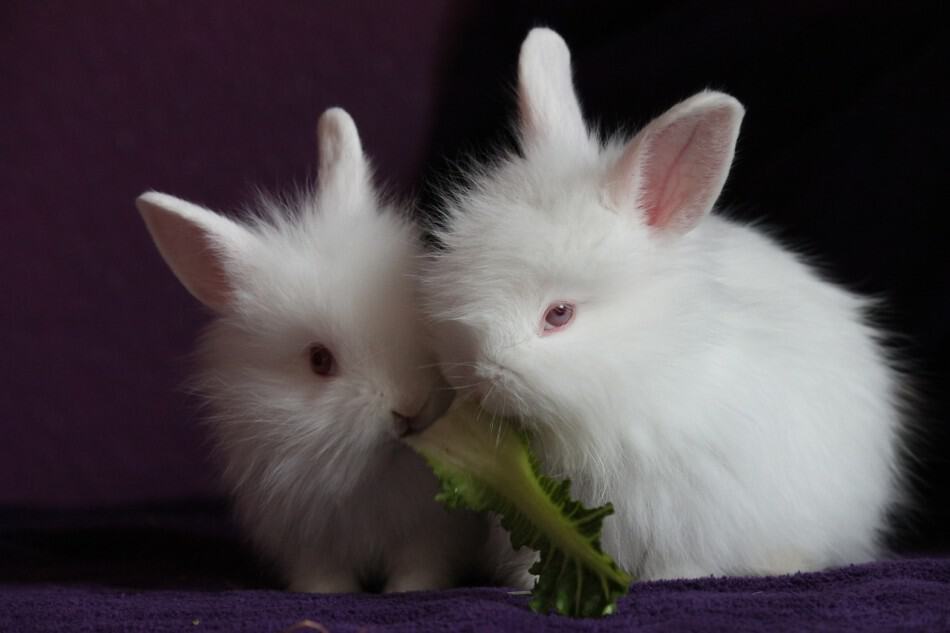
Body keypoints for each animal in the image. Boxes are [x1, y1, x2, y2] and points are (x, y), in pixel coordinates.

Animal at [142, 106, 502, 592]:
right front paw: (330, 593)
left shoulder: (432, 535)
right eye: (319, 360)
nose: (409, 408)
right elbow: (323, 575)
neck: (372, 475)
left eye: (420, 319)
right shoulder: (306, 539)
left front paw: (407, 591)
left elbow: (420, 567)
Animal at [424, 29, 908, 580]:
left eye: (559, 315)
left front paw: (671, 579)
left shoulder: (691, 512)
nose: (479, 377)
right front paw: (522, 585)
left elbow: (681, 559)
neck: (644, 373)